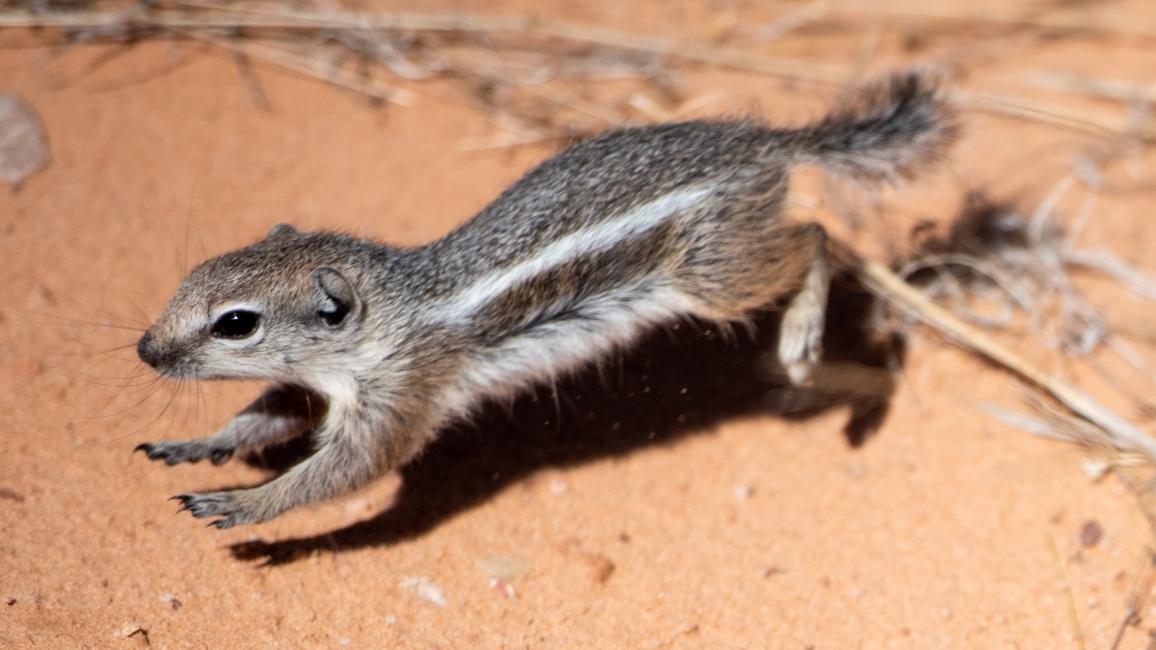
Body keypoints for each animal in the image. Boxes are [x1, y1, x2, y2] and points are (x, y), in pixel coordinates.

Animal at [135, 71, 957, 528]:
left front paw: (246, 504)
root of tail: (766, 144)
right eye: (188, 281)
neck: (388, 311)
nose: (145, 349)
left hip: (713, 275)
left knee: (815, 237)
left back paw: (803, 340)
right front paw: (200, 443)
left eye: (236, 325)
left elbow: (341, 474)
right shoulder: (328, 387)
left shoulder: (401, 395)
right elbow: (267, 415)